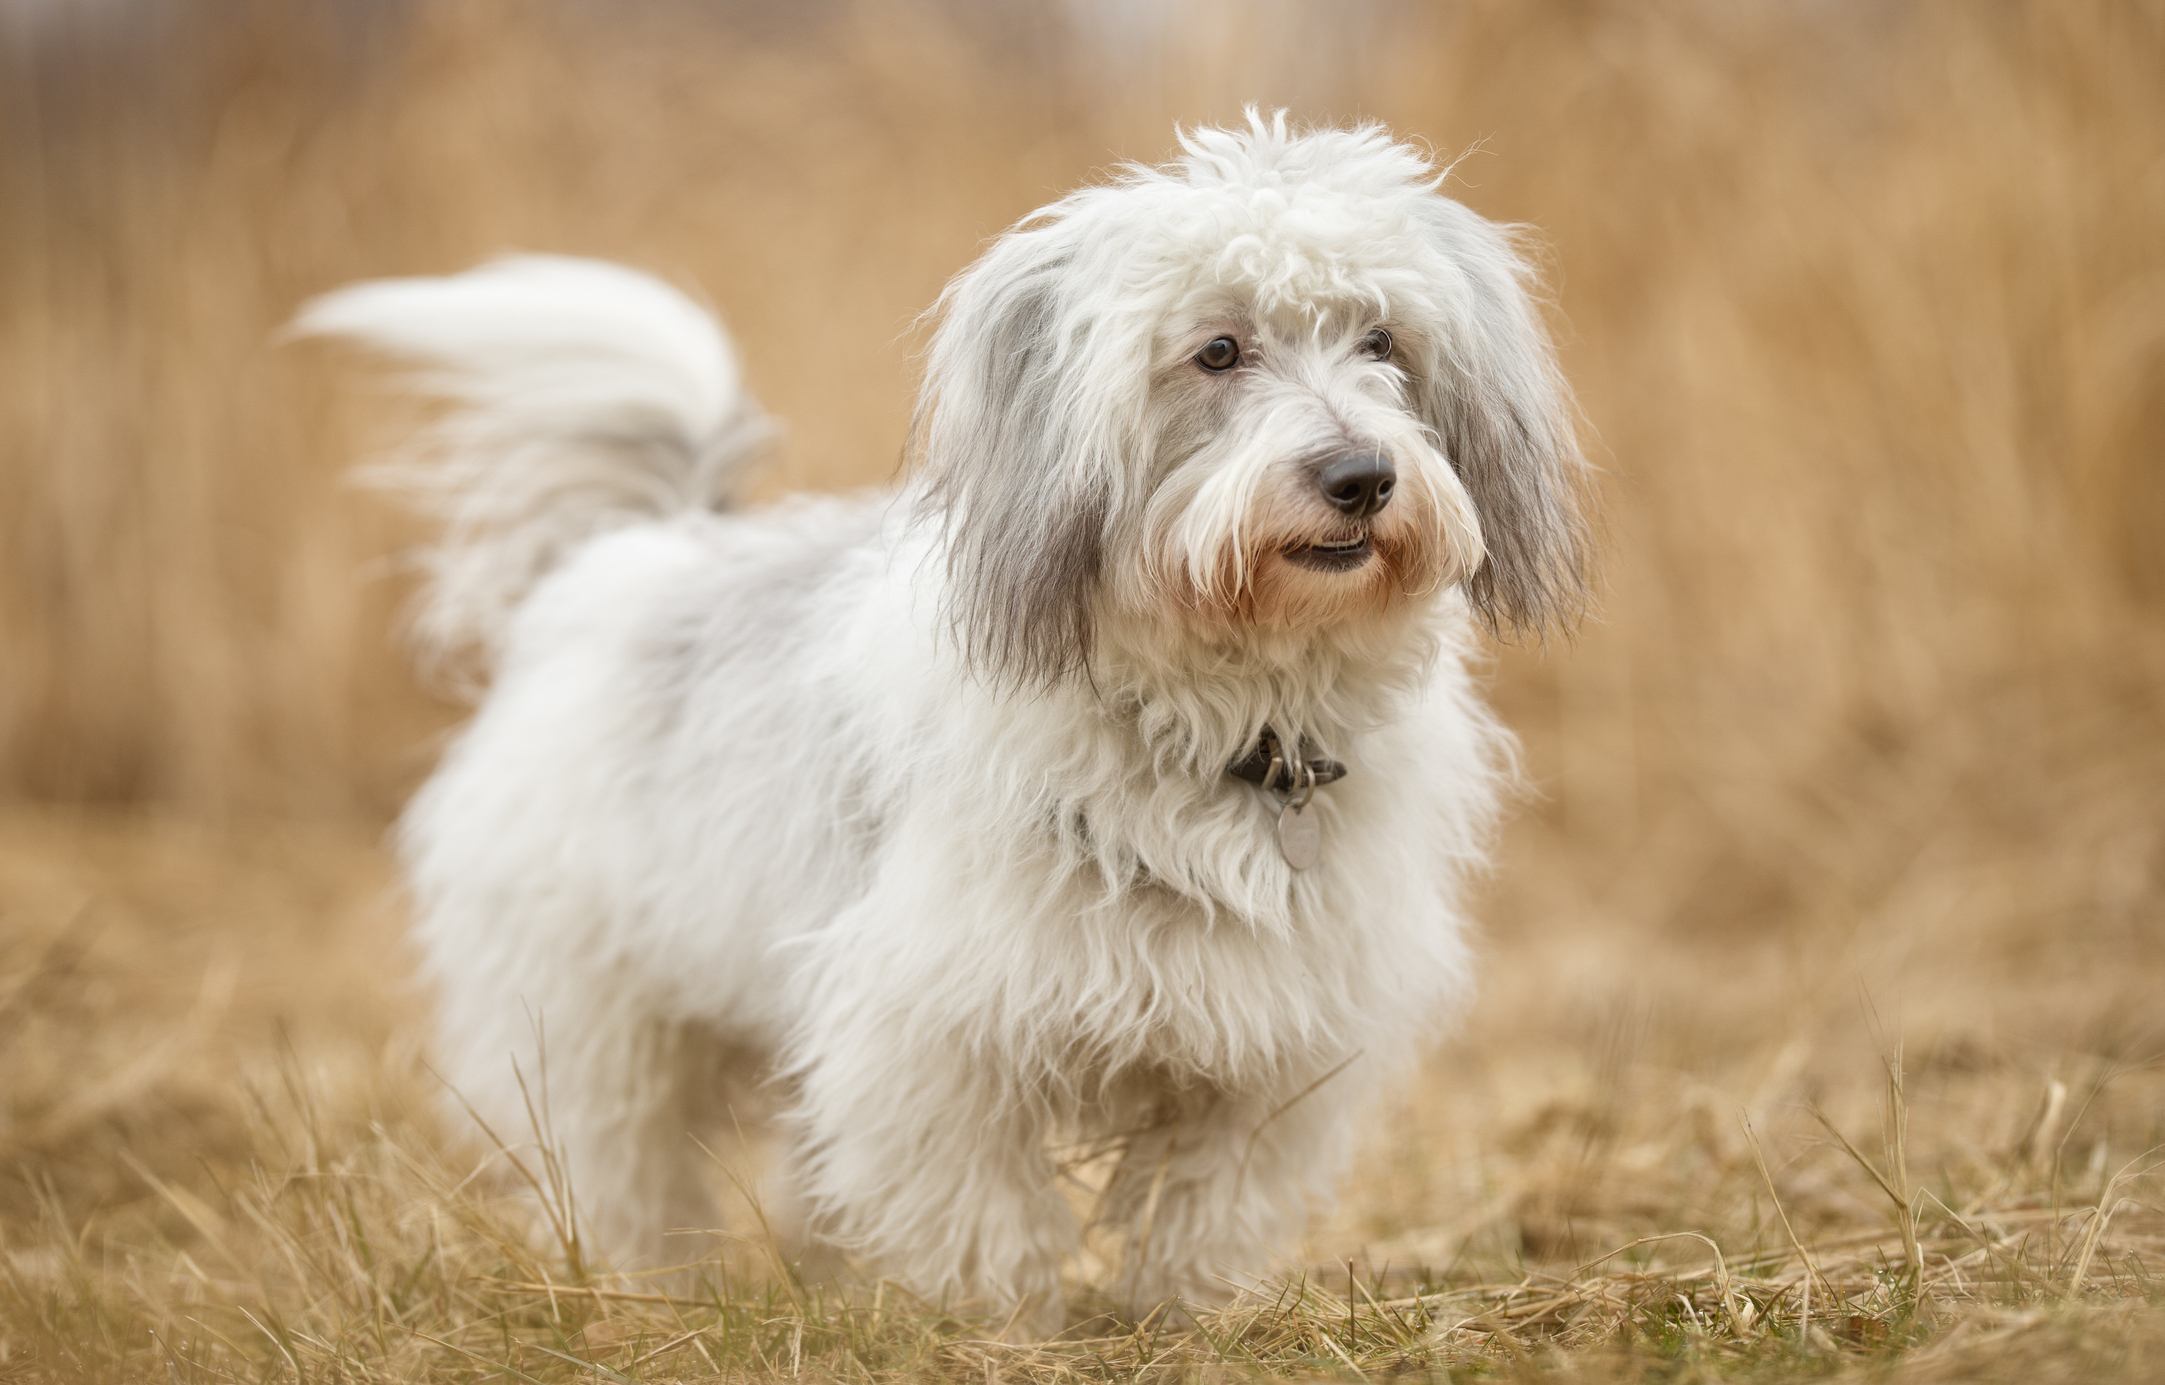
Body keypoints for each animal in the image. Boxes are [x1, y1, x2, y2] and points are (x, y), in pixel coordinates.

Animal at [296, 113, 1584, 1324]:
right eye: (1217, 350)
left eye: (1381, 342)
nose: (1360, 477)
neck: (1227, 717)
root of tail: (635, 549)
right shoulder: (933, 1022)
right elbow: (979, 1203)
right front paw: (1007, 1325)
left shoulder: (1275, 1036)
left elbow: (1207, 1196)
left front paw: (1177, 1312)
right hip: (590, 1013)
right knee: (620, 1159)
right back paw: (642, 1284)